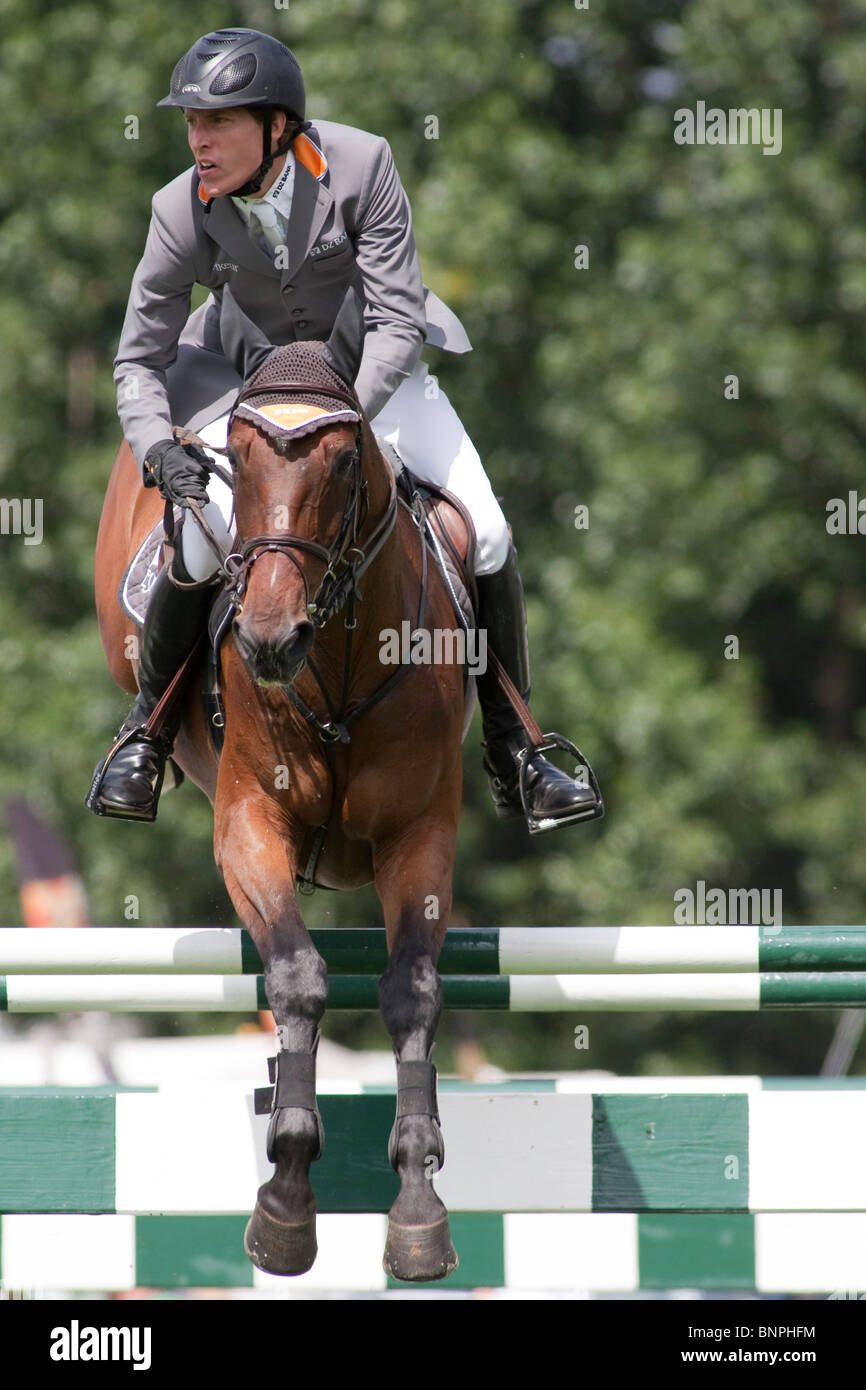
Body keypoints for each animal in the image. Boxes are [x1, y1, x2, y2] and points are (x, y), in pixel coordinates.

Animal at [92, 287, 476, 1282]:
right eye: (237, 453)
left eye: (344, 462)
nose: (267, 640)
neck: (337, 658)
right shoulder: (249, 826)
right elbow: (299, 978)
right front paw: (288, 1196)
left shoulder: (421, 837)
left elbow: (411, 990)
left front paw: (417, 1202)